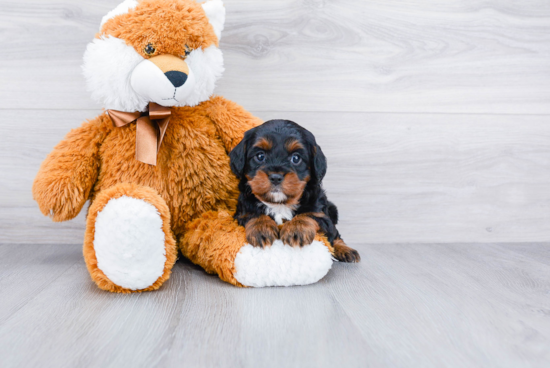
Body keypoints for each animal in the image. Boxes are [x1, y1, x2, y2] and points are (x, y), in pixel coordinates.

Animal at [230, 118, 362, 262]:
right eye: (260, 156)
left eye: (296, 158)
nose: (276, 177)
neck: (280, 204)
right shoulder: (241, 212)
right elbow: (252, 214)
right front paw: (261, 228)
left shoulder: (322, 214)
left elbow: (310, 215)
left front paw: (296, 229)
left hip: (332, 210)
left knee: (335, 234)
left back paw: (344, 249)